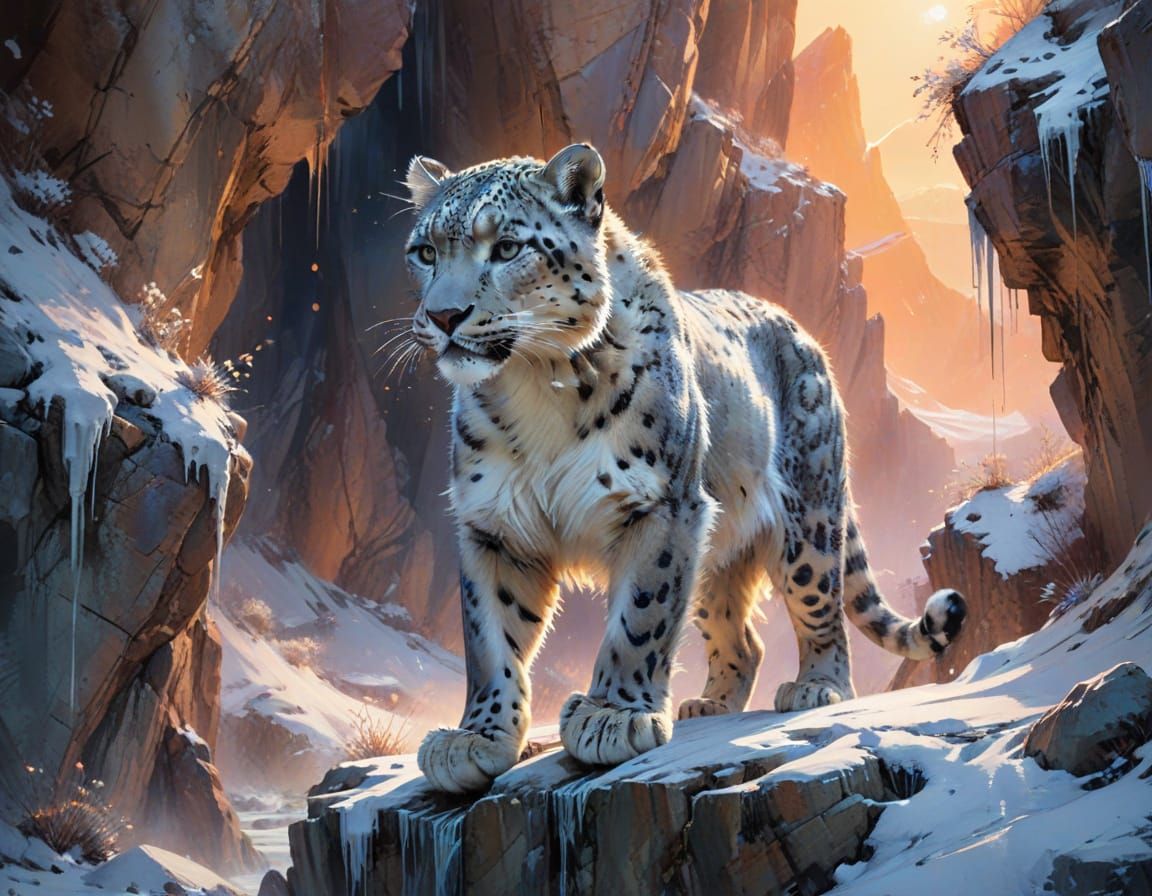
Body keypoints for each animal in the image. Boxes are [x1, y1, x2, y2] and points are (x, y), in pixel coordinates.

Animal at [401, 144, 967, 794]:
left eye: (508, 247)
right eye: (425, 252)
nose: (444, 315)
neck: (537, 383)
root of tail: (801, 331)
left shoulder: (661, 505)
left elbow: (640, 616)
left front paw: (612, 717)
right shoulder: (494, 524)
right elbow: (490, 634)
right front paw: (478, 738)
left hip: (809, 514)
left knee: (822, 603)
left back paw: (818, 686)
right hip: (717, 549)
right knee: (740, 635)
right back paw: (711, 703)